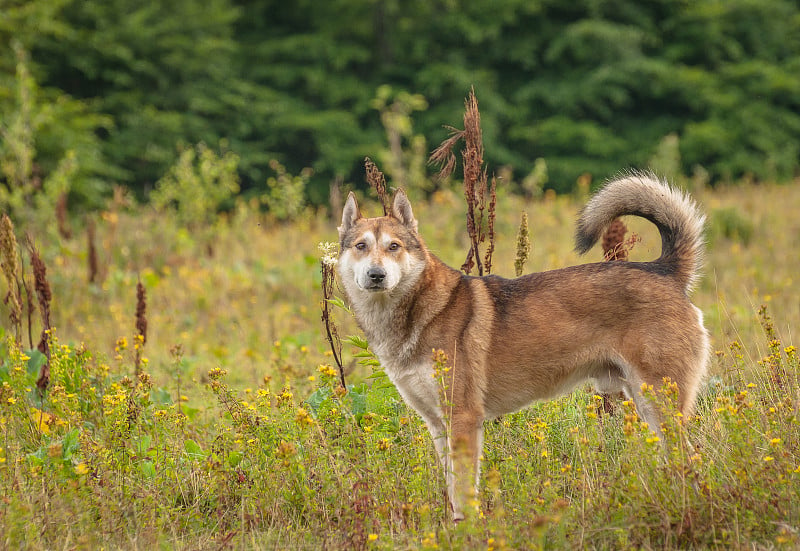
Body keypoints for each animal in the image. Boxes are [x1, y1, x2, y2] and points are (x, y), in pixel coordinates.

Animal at [334, 174, 708, 520]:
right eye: (361, 246)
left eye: (394, 246)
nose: (376, 275)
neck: (419, 311)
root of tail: (664, 270)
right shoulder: (439, 426)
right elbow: (453, 491)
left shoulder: (464, 420)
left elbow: (465, 493)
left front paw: (469, 533)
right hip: (644, 404)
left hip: (660, 404)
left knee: (690, 458)